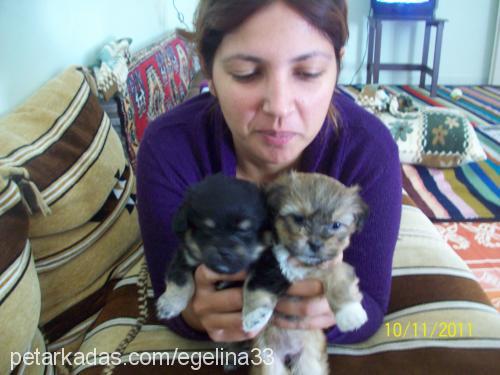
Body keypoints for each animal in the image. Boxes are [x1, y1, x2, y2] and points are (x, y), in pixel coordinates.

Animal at [157, 175, 270, 322]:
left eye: (244, 230)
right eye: (207, 229)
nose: (224, 251)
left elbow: (256, 284)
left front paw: (254, 314)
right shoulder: (184, 257)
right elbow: (180, 279)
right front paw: (169, 303)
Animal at [242, 172, 368, 374]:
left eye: (335, 225)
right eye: (298, 218)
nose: (315, 244)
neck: (300, 262)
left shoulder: (331, 266)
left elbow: (338, 280)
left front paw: (350, 314)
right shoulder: (268, 261)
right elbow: (259, 282)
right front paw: (253, 316)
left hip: (309, 361)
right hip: (268, 361)